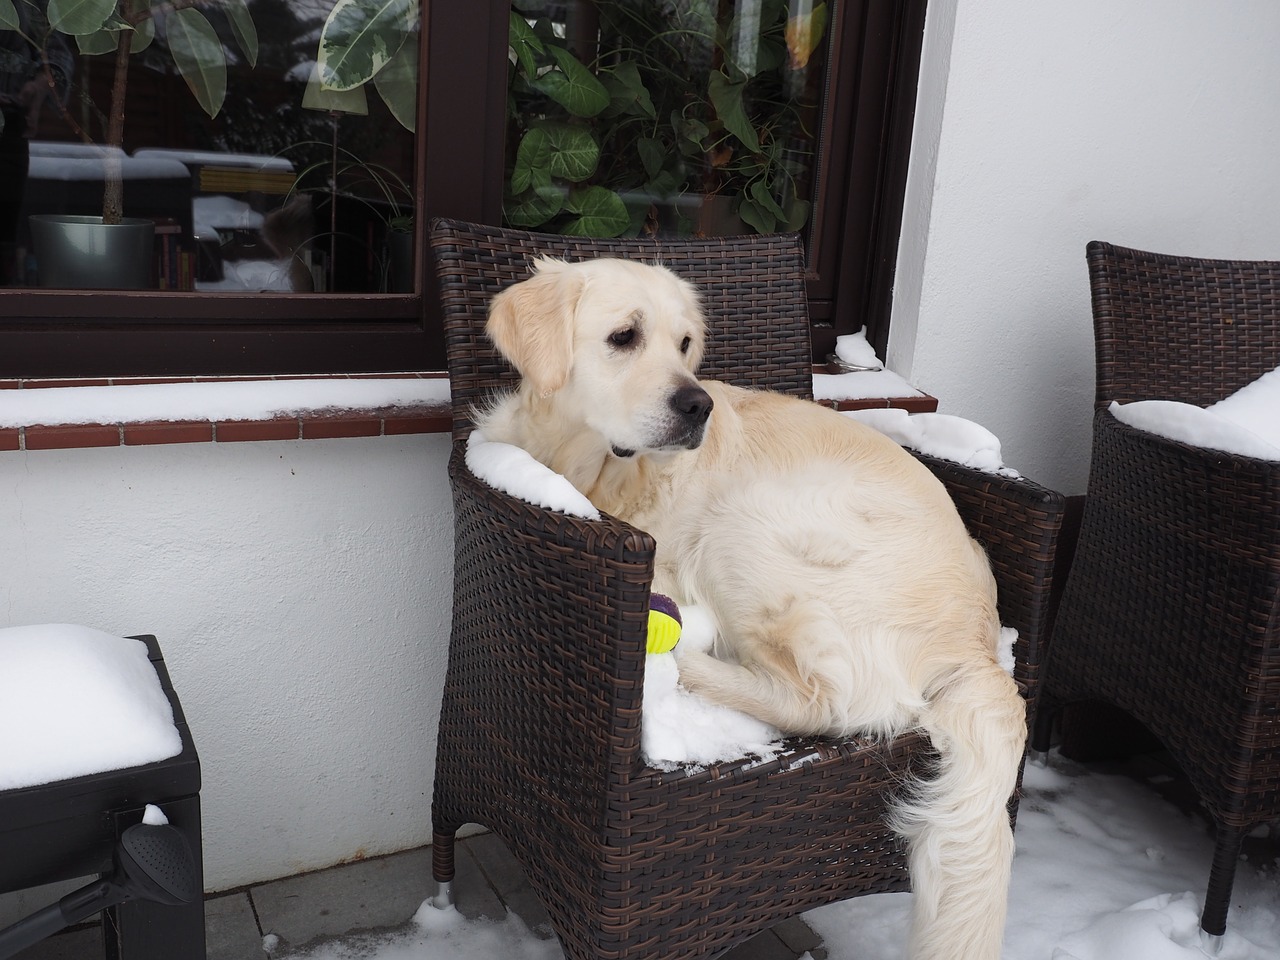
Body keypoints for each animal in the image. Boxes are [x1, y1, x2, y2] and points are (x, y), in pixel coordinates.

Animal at [481, 256, 1029, 960]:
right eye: (624, 336)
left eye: (685, 344)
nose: (697, 405)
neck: (599, 471)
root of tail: (979, 644)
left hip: (746, 521)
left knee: (818, 701)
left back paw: (688, 661)